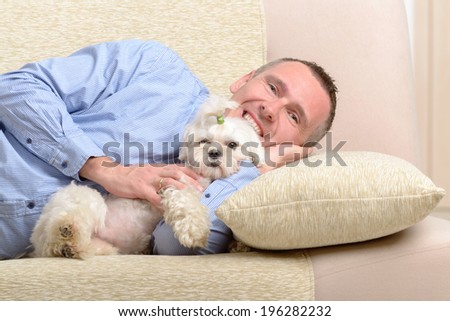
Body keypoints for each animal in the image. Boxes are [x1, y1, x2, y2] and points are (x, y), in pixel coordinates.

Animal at [30, 95, 264, 258]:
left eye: (232, 145)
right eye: (204, 141)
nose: (214, 152)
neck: (205, 178)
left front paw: (239, 245)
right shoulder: (175, 187)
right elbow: (187, 203)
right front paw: (195, 231)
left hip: (105, 245)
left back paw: (74, 248)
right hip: (83, 200)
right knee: (57, 237)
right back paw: (66, 233)